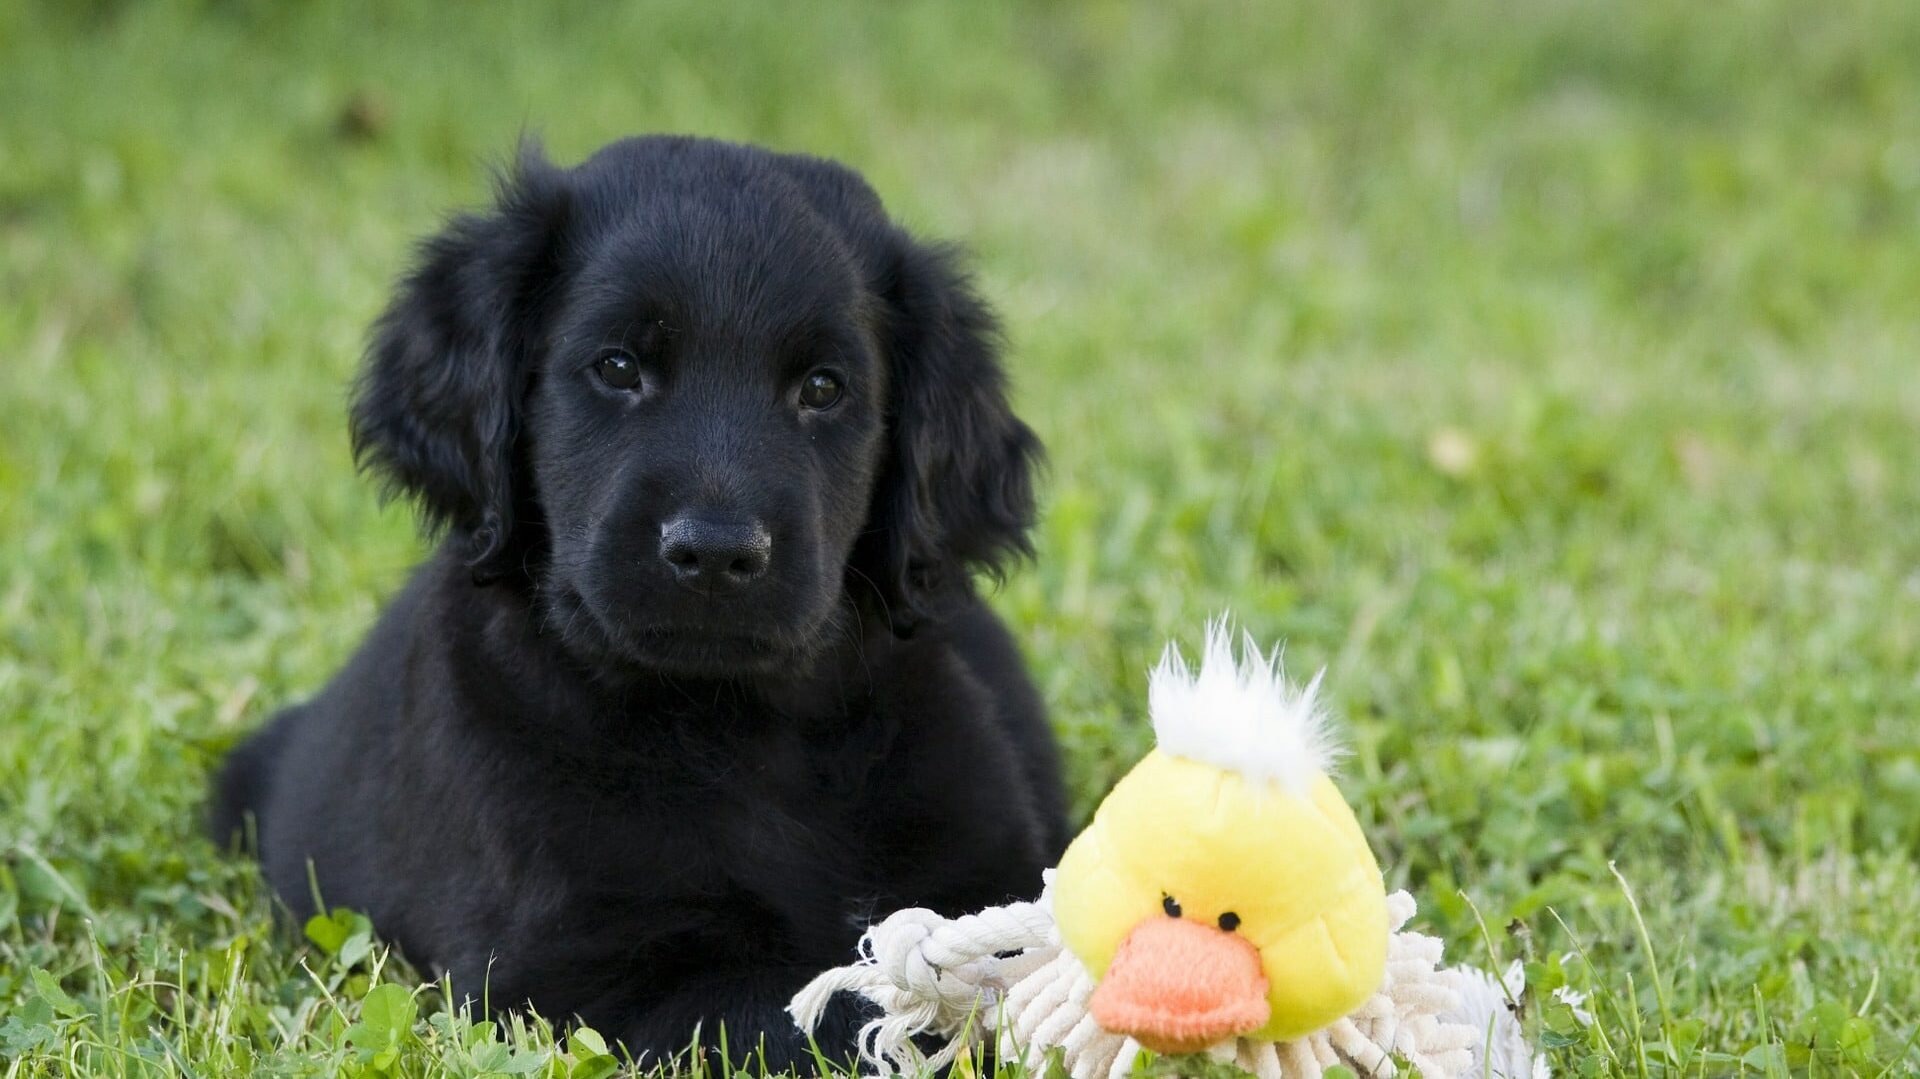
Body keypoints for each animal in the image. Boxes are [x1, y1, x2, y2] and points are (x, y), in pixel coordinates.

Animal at [220, 134, 1082, 1067]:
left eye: (823, 388)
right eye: (618, 367)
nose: (715, 551)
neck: (741, 730)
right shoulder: (582, 969)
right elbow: (834, 1014)